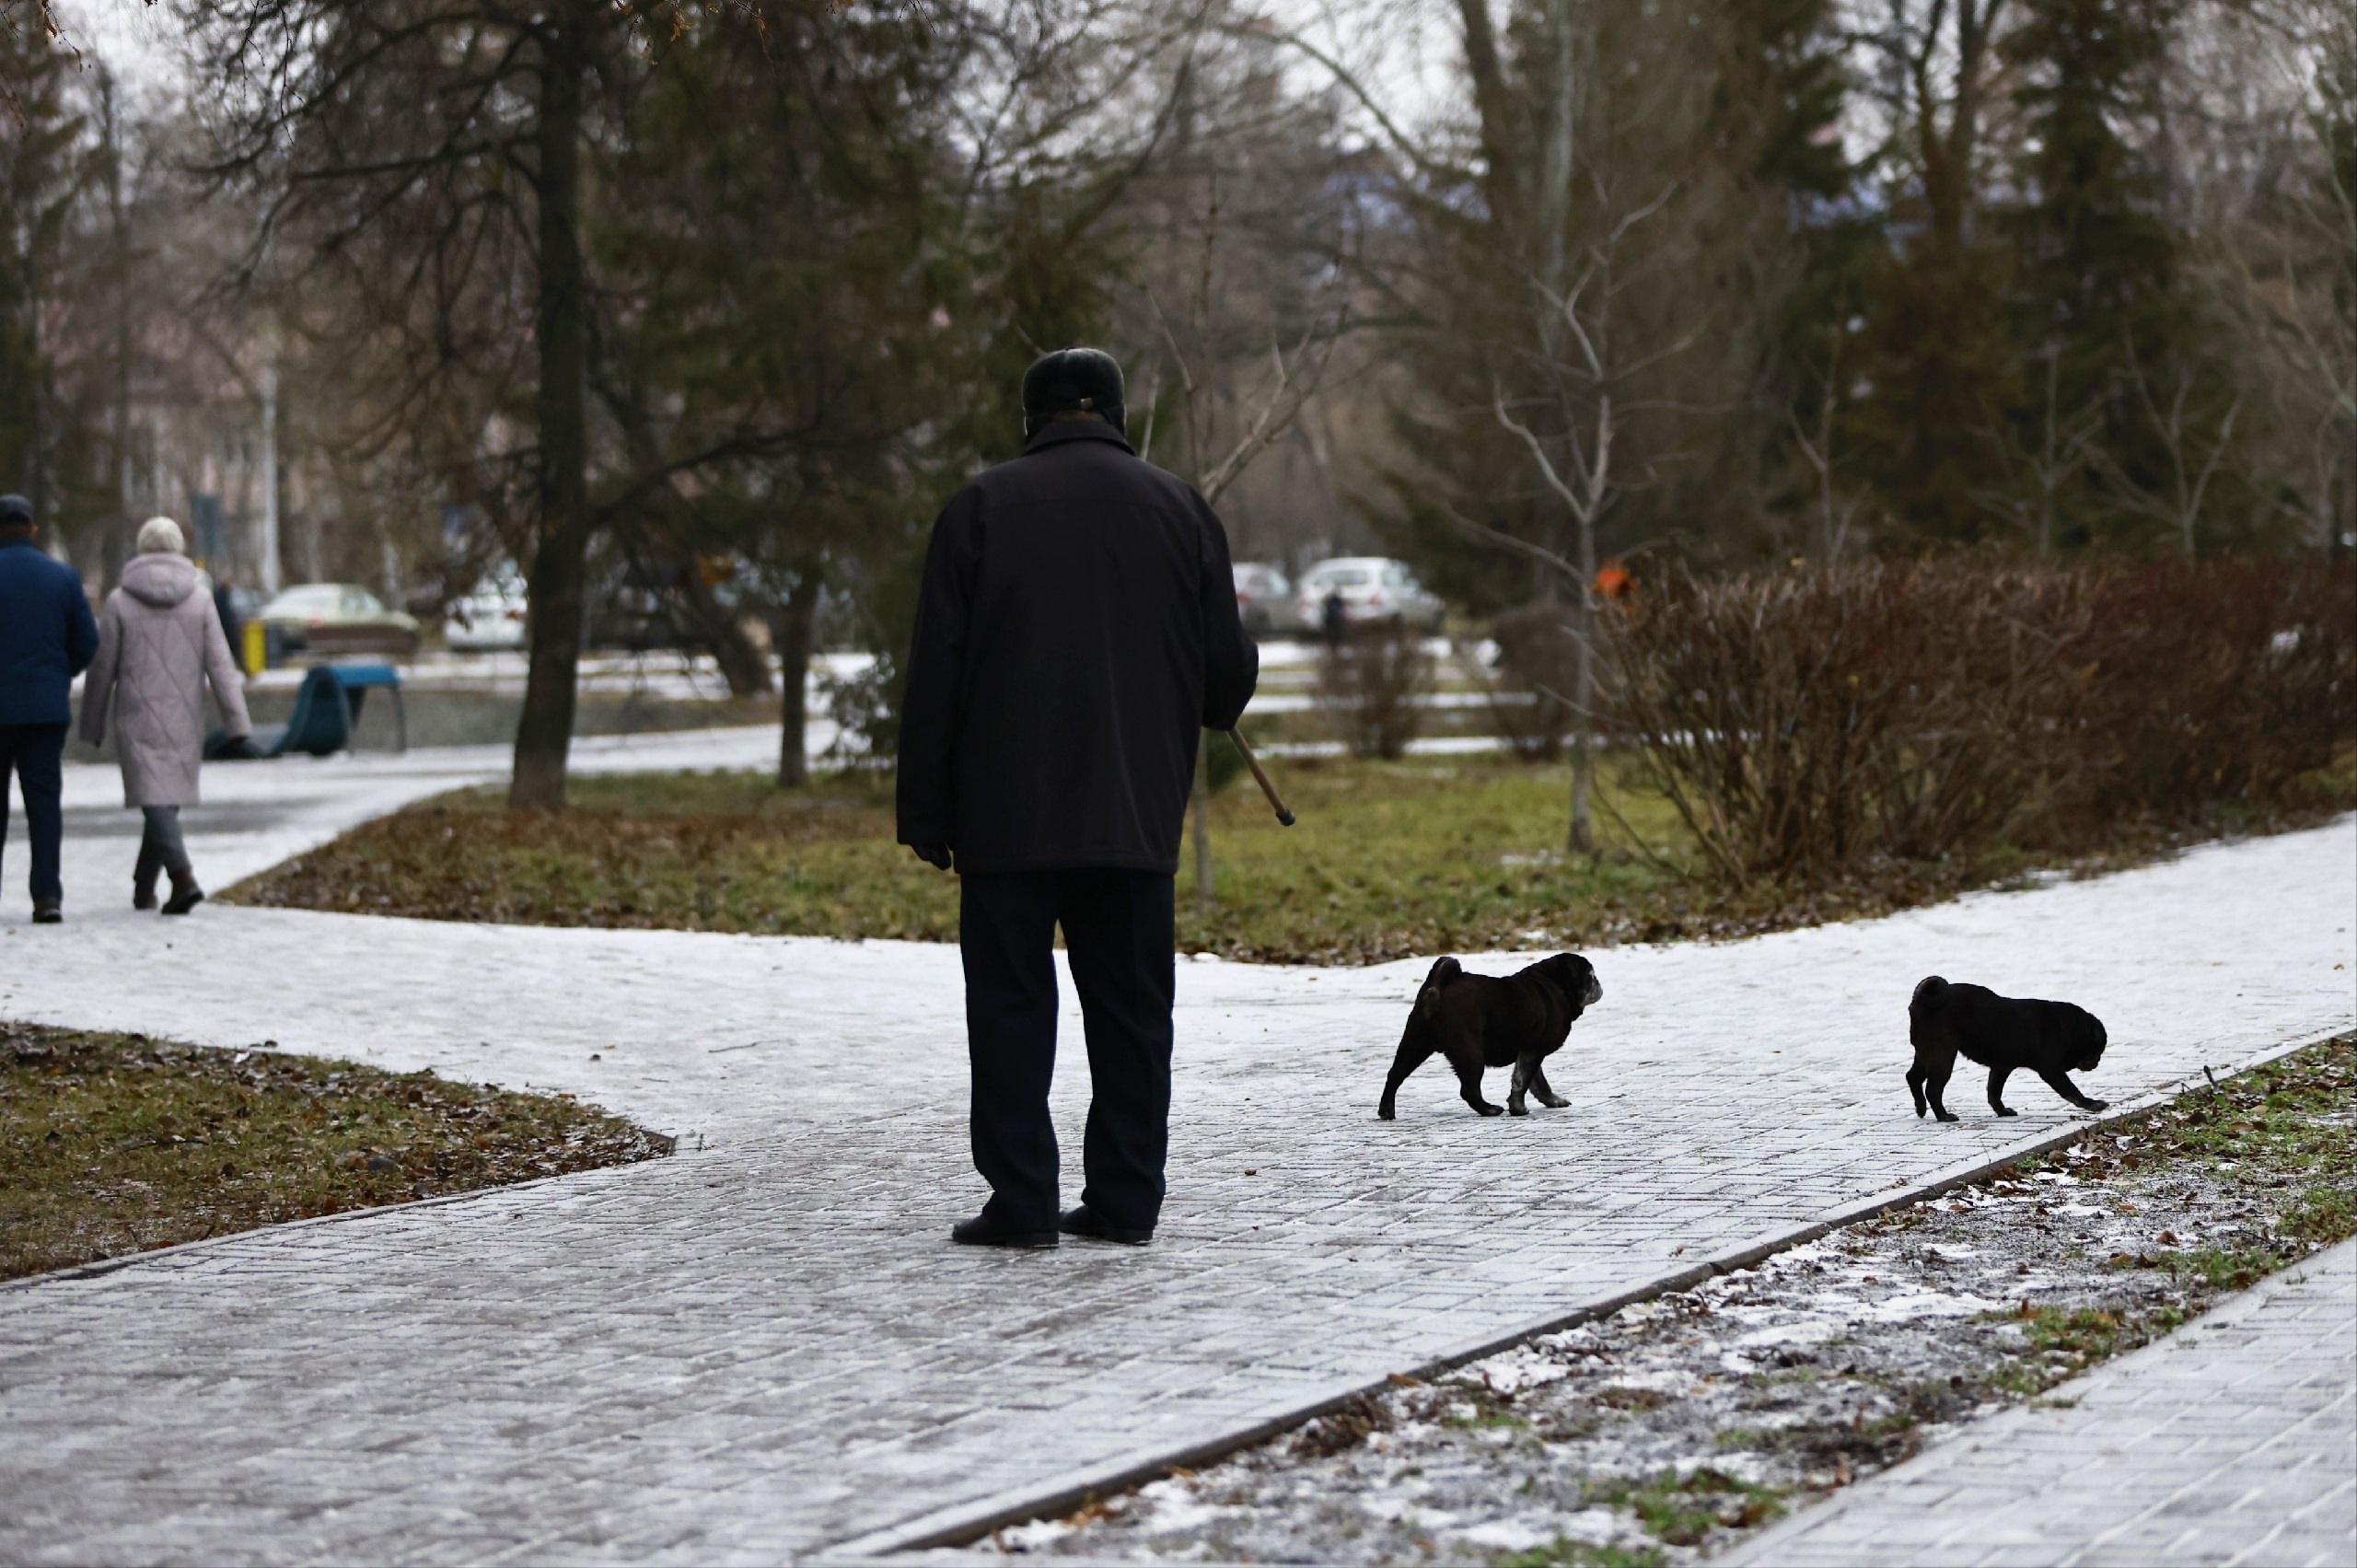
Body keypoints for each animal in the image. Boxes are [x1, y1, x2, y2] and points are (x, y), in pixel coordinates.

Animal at [1376, 952, 1612, 1112]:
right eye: (1590, 976)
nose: (1599, 983)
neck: (1554, 985)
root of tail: (1440, 986)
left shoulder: (1529, 1050)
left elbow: (1537, 1082)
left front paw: (1551, 1100)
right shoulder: (1533, 1050)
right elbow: (1521, 1081)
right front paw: (1518, 1109)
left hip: (1415, 1043)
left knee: (1395, 1075)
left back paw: (1386, 1111)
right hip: (1470, 1052)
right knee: (1469, 1089)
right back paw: (1489, 1109)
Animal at [1904, 971, 2111, 1117]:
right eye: (2097, 1051)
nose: (2097, 1062)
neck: (2067, 1028)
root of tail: (1920, 1000)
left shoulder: (2001, 1067)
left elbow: (1994, 1092)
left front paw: (2002, 1112)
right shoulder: (2051, 1070)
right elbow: (2072, 1091)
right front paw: (2091, 1104)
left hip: (1926, 1053)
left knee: (1912, 1077)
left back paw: (1921, 1108)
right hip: (1942, 1055)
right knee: (1933, 1089)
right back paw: (1944, 1116)